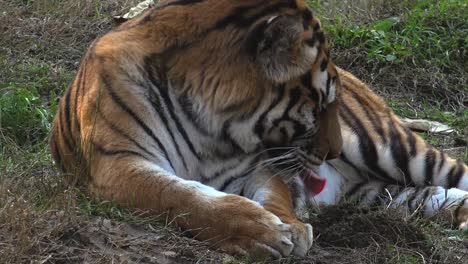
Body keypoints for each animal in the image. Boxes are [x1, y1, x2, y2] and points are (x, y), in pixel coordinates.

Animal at [50, 0, 344, 258]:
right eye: (319, 106)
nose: (335, 153)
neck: (209, 125)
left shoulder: (250, 167)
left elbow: (276, 193)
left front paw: (292, 226)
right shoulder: (118, 163)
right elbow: (183, 195)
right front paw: (261, 231)